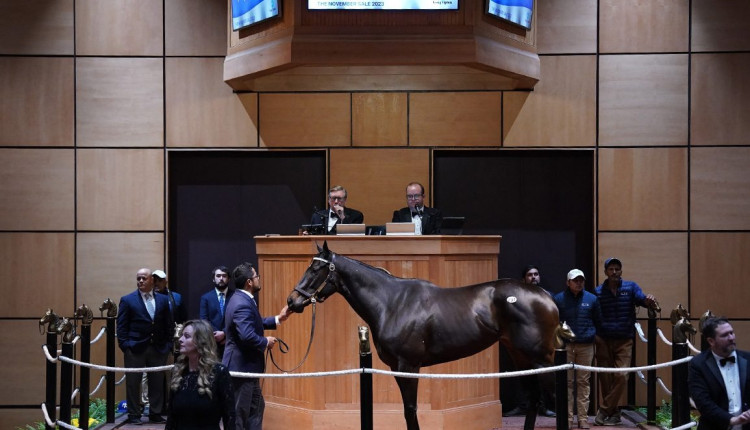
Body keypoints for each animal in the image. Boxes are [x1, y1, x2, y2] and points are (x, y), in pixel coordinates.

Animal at [288, 242, 564, 430]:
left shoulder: (409, 366)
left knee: (552, 398)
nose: (292, 301)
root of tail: (545, 296)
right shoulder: (397, 368)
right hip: (521, 358)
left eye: (315, 269)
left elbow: (410, 410)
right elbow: (407, 410)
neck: (392, 303)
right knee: (533, 399)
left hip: (541, 360)